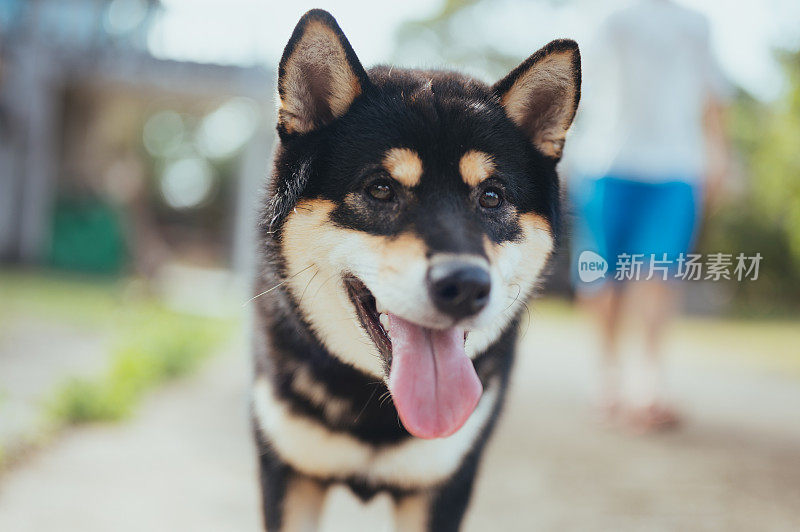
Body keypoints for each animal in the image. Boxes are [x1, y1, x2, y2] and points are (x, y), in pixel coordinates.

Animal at [252, 9, 580, 532]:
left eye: (492, 197)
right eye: (381, 189)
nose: (465, 285)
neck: (377, 409)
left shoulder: (444, 484)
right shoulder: (288, 471)